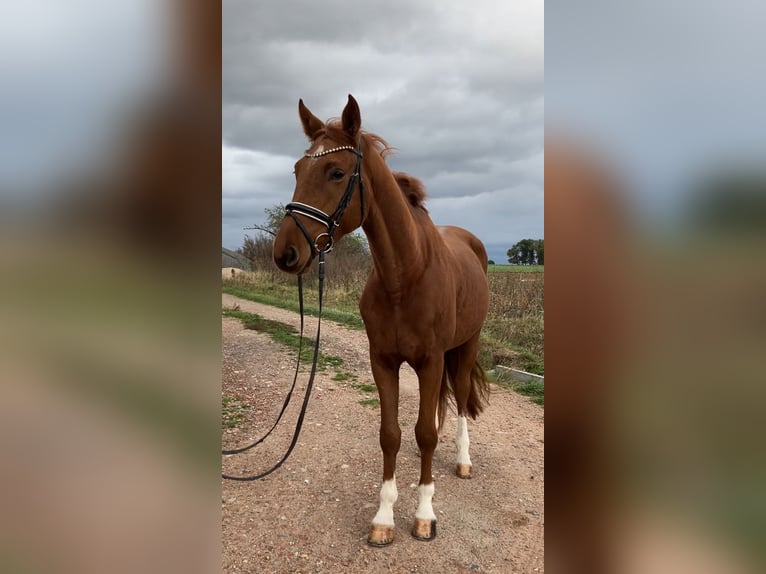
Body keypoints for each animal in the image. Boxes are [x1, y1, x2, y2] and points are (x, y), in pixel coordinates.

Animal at [273, 95, 490, 546]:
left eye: (336, 172)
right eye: (297, 170)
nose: (285, 253)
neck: (404, 276)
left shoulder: (431, 362)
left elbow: (425, 433)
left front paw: (424, 515)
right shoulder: (383, 362)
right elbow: (391, 435)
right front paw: (384, 518)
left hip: (466, 346)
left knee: (461, 399)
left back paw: (463, 460)